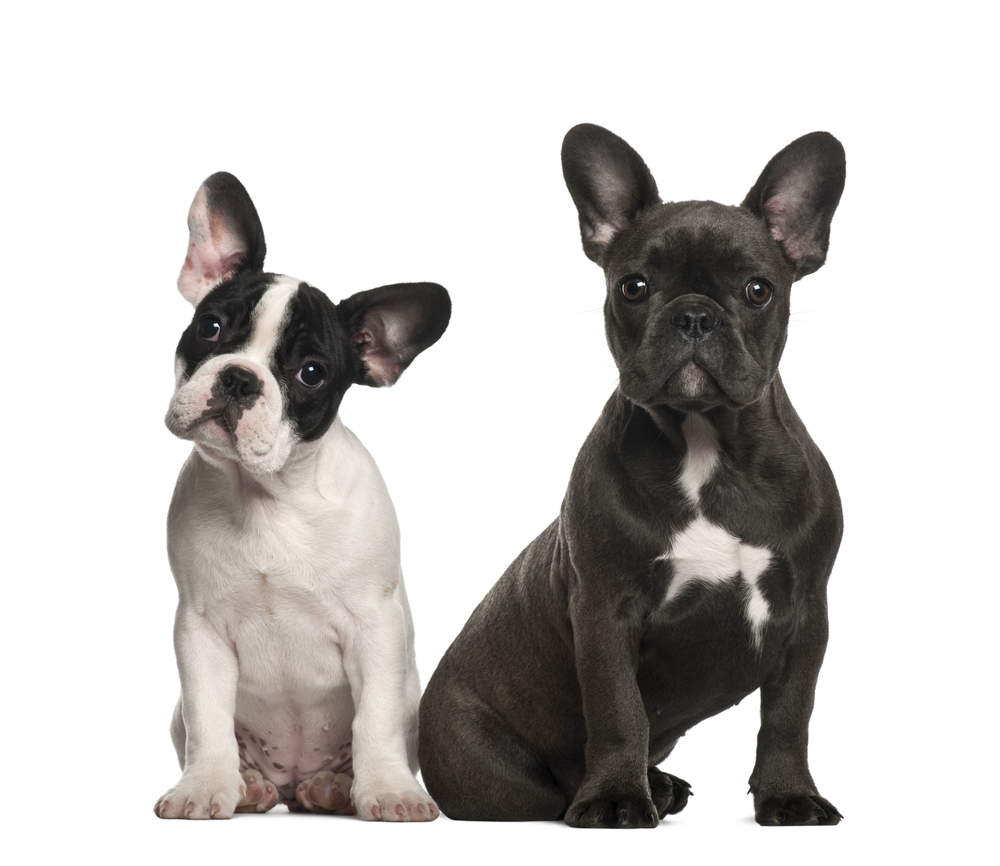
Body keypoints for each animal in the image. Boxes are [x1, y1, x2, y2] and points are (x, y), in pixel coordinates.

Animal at [153, 172, 450, 820]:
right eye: (210, 328)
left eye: (310, 372)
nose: (239, 379)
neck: (268, 496)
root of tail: (293, 782)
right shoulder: (199, 631)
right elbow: (209, 722)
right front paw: (203, 788)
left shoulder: (376, 628)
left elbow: (375, 723)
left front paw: (389, 791)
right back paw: (250, 787)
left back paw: (337, 787)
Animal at [418, 123, 848, 824]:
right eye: (635, 287)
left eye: (758, 290)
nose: (694, 314)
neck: (706, 444)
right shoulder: (606, 607)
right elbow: (619, 708)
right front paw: (616, 798)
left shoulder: (807, 610)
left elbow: (790, 713)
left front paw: (790, 796)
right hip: (496, 774)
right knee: (549, 785)